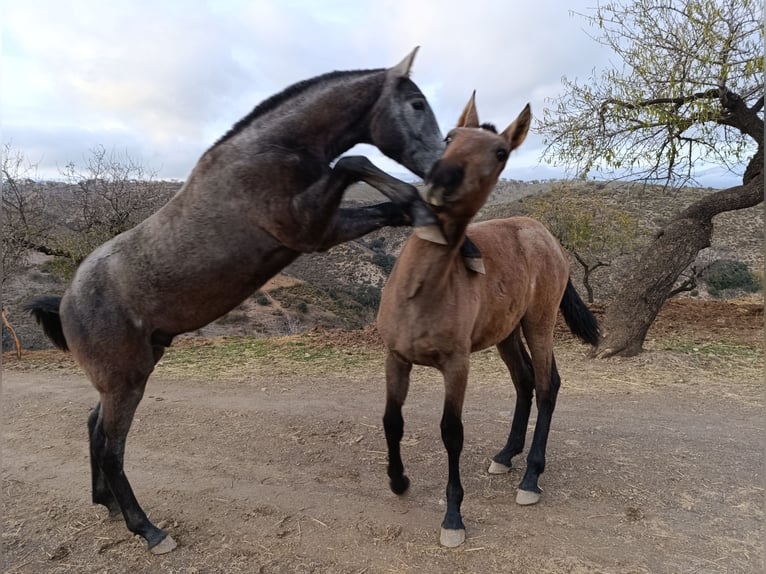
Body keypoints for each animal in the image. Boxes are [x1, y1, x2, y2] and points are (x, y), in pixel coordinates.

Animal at [25, 50, 444, 560]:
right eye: (417, 104)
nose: (441, 164)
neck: (266, 153)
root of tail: (66, 301)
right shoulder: (315, 228)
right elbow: (355, 162)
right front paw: (430, 214)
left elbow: (378, 191)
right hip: (125, 382)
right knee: (111, 447)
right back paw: (148, 530)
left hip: (128, 374)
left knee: (94, 427)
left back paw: (106, 503)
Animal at [376, 93, 600, 548]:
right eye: (449, 136)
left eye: (501, 153)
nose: (442, 179)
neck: (423, 292)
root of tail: (545, 235)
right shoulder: (396, 357)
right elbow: (392, 419)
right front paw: (398, 481)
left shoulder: (456, 366)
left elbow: (452, 432)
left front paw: (453, 518)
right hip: (507, 334)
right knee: (525, 382)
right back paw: (505, 455)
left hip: (538, 323)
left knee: (547, 386)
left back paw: (530, 478)